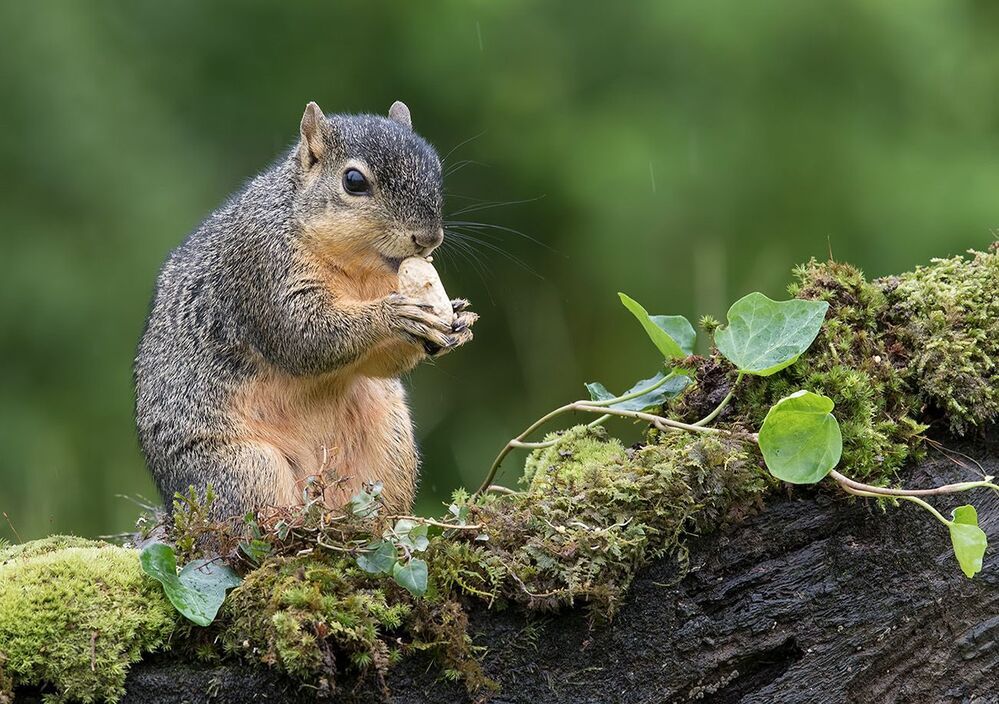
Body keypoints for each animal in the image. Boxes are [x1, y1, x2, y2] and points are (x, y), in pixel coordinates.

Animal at [134, 100, 476, 520]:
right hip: (242, 469)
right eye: (354, 181)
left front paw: (457, 319)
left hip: (392, 448)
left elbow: (376, 364)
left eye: (436, 170)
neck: (357, 269)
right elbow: (303, 336)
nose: (429, 238)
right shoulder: (261, 267)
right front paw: (396, 315)